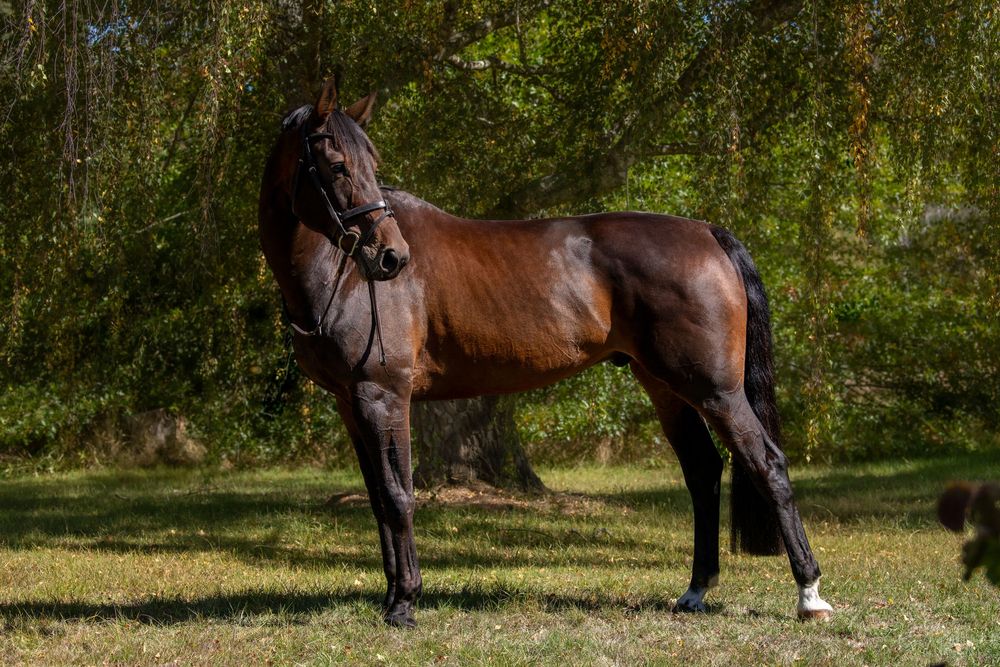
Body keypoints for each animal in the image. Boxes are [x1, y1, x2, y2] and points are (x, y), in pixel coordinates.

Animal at [258, 76, 833, 628]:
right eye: (337, 165)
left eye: (372, 166)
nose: (391, 257)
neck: (343, 275)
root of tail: (709, 234)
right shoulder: (351, 403)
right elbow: (379, 500)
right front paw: (390, 598)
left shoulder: (384, 396)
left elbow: (399, 497)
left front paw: (404, 605)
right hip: (665, 386)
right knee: (703, 471)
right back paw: (695, 592)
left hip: (716, 389)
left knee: (766, 464)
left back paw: (809, 596)